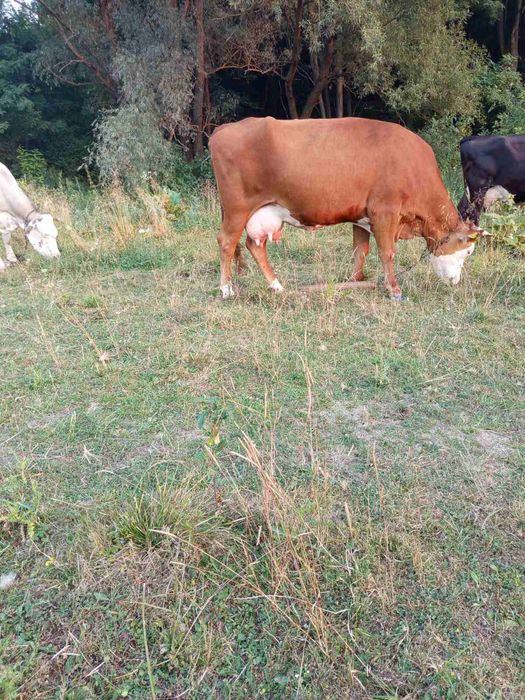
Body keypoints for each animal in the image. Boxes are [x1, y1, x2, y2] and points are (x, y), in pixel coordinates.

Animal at [209, 117, 484, 301]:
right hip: (236, 209)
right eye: (468, 252)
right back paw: (226, 288)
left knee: (254, 245)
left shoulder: (362, 216)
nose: (456, 281)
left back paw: (276, 285)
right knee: (226, 242)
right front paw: (394, 290)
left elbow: (360, 250)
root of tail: (225, 128)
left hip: (262, 213)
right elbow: (387, 252)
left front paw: (356, 281)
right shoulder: (385, 212)